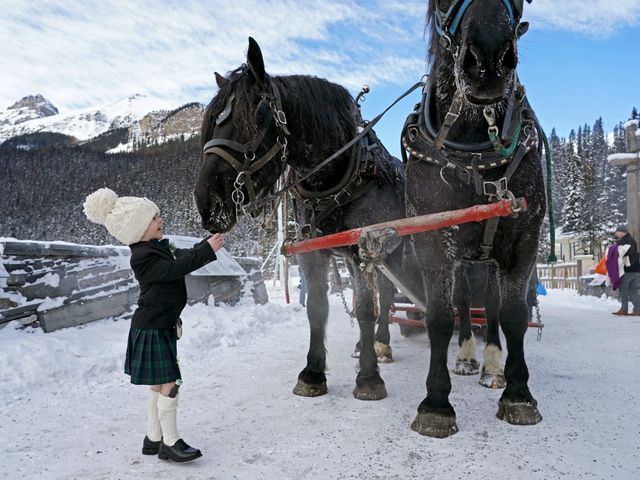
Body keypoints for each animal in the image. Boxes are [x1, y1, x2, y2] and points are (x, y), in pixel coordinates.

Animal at [192, 38, 408, 402]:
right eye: (210, 122)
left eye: (258, 115)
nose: (208, 203)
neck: (340, 176)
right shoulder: (312, 249)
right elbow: (317, 308)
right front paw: (312, 373)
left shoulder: (363, 250)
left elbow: (367, 307)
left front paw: (368, 378)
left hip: (392, 250)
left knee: (388, 295)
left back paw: (380, 344)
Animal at [402, 0, 544, 436]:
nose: (489, 59)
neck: (473, 147)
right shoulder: (431, 240)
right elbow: (440, 316)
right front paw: (436, 403)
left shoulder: (524, 238)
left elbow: (513, 315)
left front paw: (518, 393)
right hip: (465, 260)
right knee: (464, 303)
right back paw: (467, 357)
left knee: (493, 307)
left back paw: (492, 366)